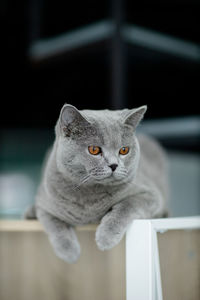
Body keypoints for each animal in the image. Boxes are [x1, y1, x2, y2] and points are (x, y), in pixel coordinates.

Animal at [25, 104, 169, 264]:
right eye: (94, 150)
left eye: (124, 150)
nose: (114, 165)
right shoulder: (45, 203)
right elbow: (54, 223)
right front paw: (69, 252)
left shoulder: (150, 194)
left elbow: (127, 206)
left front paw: (106, 237)